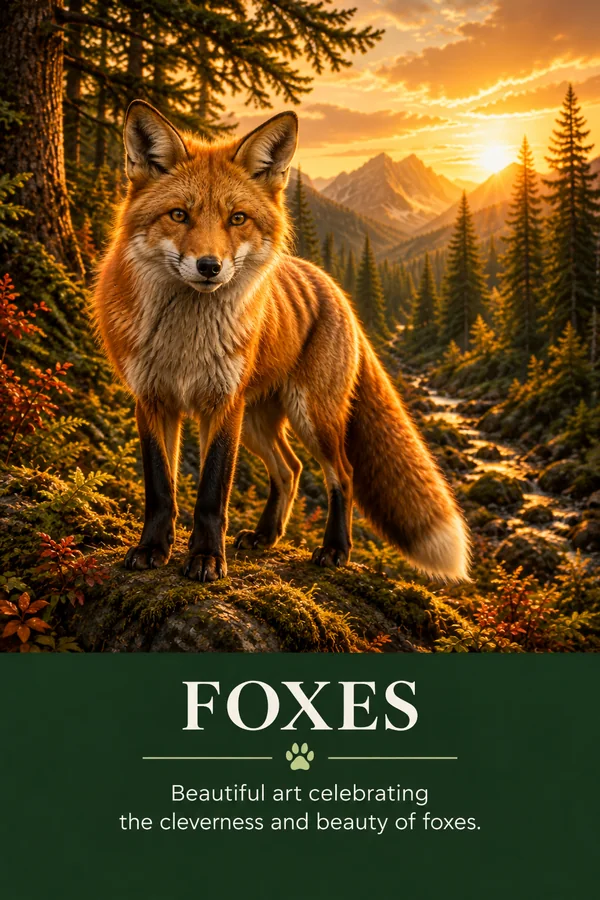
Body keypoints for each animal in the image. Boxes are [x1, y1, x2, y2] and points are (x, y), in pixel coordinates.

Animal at [93, 100, 469, 583]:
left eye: (237, 218)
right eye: (179, 215)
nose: (209, 266)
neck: (185, 343)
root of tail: (331, 284)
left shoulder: (223, 404)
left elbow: (212, 493)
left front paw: (207, 558)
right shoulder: (153, 399)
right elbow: (160, 489)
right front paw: (152, 548)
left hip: (311, 416)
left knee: (342, 473)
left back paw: (335, 549)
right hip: (258, 422)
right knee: (290, 470)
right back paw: (266, 536)